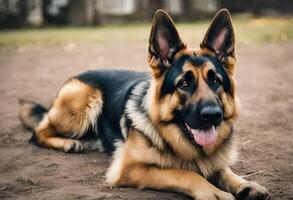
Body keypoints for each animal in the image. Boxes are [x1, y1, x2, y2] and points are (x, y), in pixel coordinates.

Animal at [18, 9, 270, 200]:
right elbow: (185, 174)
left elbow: (223, 170)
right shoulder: (130, 169)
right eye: (184, 83)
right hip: (83, 102)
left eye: (216, 81)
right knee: (38, 131)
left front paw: (243, 183)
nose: (213, 115)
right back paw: (67, 143)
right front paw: (212, 192)